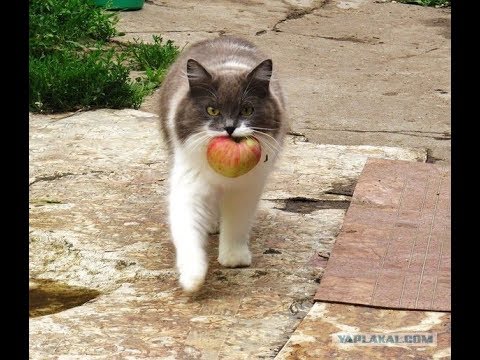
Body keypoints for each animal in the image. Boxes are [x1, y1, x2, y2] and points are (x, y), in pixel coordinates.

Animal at [158, 35, 286, 292]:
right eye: (212, 110)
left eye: (247, 109)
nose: (229, 128)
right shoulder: (190, 185)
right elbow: (187, 230)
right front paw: (192, 277)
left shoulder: (245, 189)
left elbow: (236, 224)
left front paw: (234, 258)